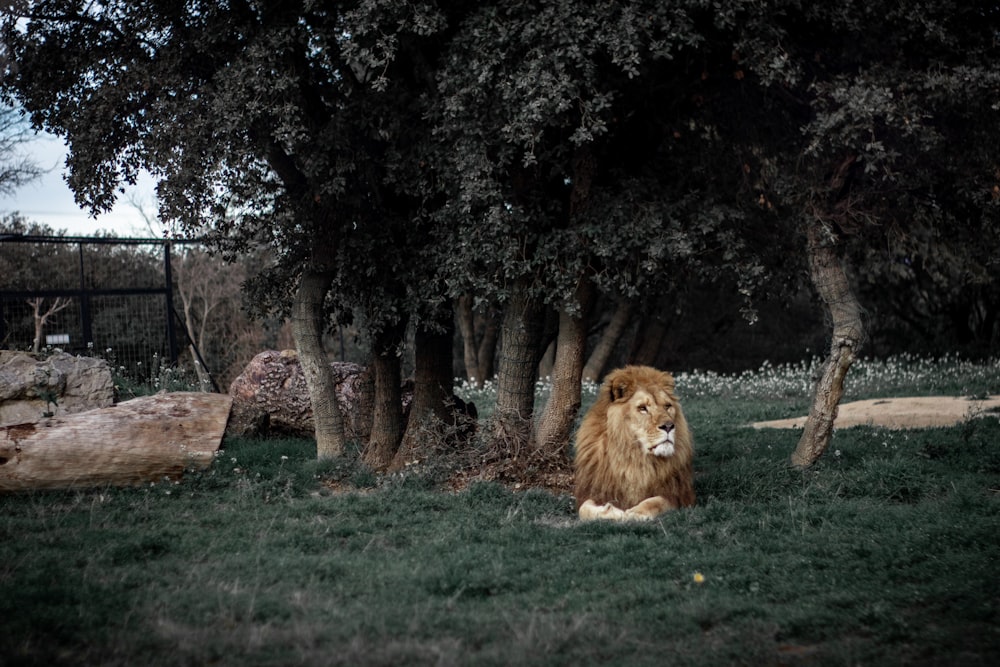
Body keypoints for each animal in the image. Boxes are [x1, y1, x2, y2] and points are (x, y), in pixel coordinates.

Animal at [572, 366, 696, 520]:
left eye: (667, 406)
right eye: (643, 408)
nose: (668, 426)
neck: (634, 456)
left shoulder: (680, 496)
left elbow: (657, 501)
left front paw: (636, 513)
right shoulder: (596, 491)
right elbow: (584, 508)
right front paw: (610, 512)